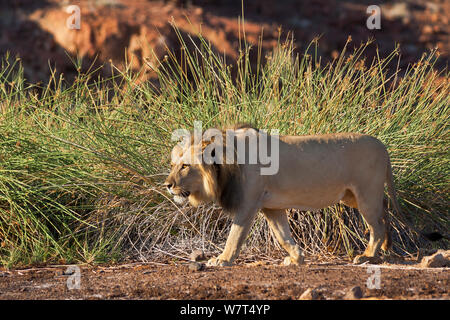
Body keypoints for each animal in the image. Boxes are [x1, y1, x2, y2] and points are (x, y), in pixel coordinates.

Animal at [163, 124, 402, 266]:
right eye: (173, 165)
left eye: (185, 166)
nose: (167, 185)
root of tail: (383, 146)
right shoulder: (271, 207)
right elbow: (282, 235)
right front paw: (296, 258)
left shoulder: (249, 203)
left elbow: (235, 234)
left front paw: (223, 259)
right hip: (351, 196)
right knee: (384, 210)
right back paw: (382, 248)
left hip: (365, 194)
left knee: (377, 225)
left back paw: (369, 255)